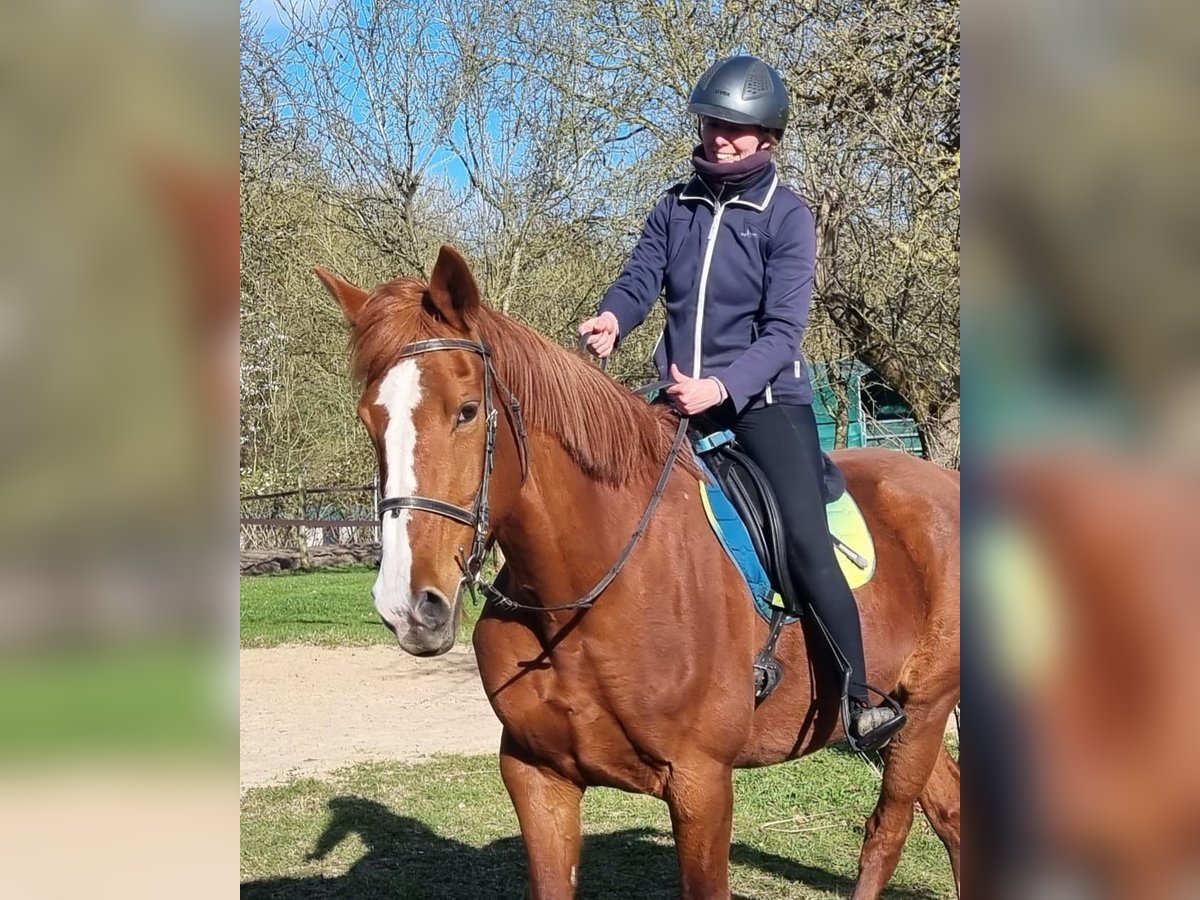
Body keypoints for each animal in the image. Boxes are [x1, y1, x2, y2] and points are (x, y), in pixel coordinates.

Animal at [314, 246, 961, 899]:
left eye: (467, 411)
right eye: (370, 420)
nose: (407, 606)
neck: (588, 598)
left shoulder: (702, 784)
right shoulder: (536, 774)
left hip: (924, 713)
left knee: (888, 830)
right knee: (950, 814)